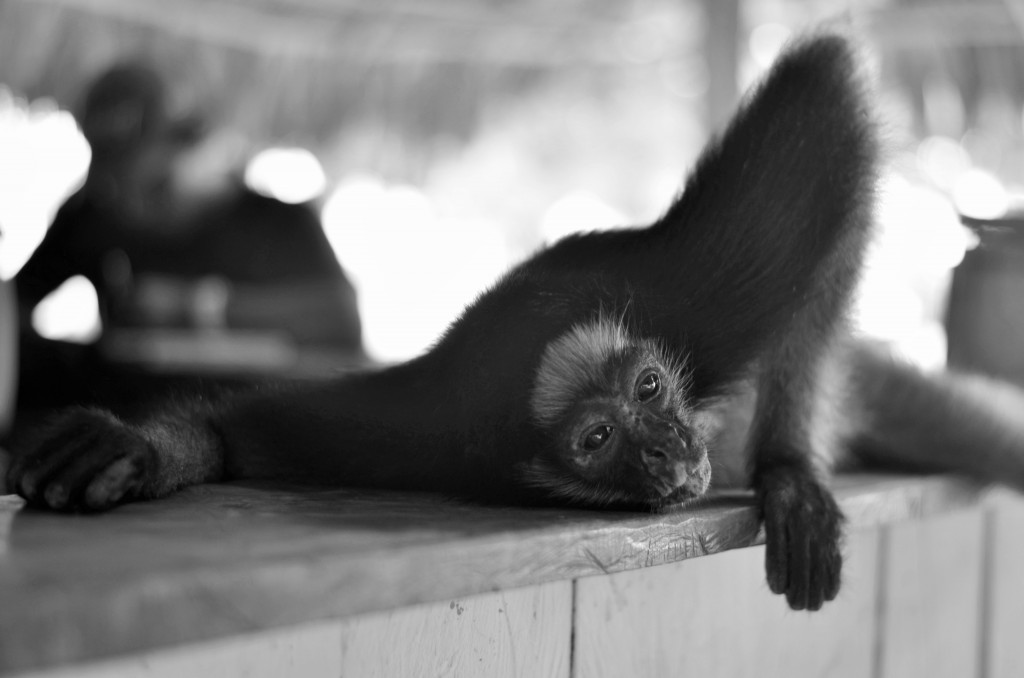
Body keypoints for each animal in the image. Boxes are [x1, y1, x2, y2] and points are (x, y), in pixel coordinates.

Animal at [8, 33, 1024, 614]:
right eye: (598, 438)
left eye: (651, 387)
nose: (669, 448)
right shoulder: (417, 428)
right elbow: (249, 430)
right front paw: (143, 448)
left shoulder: (693, 297)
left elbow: (825, 100)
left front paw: (787, 468)